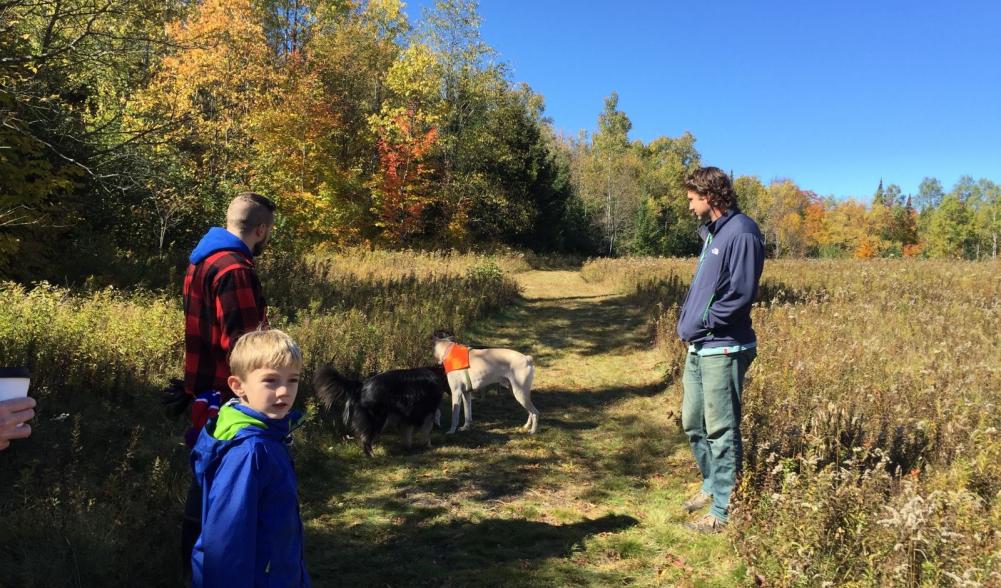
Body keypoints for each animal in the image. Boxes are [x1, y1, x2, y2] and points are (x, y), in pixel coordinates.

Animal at [314, 366, 448, 458]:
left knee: (364, 438)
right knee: (366, 439)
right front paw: (428, 445)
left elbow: (407, 432)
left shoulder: (408, 415)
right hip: (377, 419)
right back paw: (372, 455)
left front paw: (408, 446)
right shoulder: (427, 412)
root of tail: (362, 385)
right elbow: (427, 430)